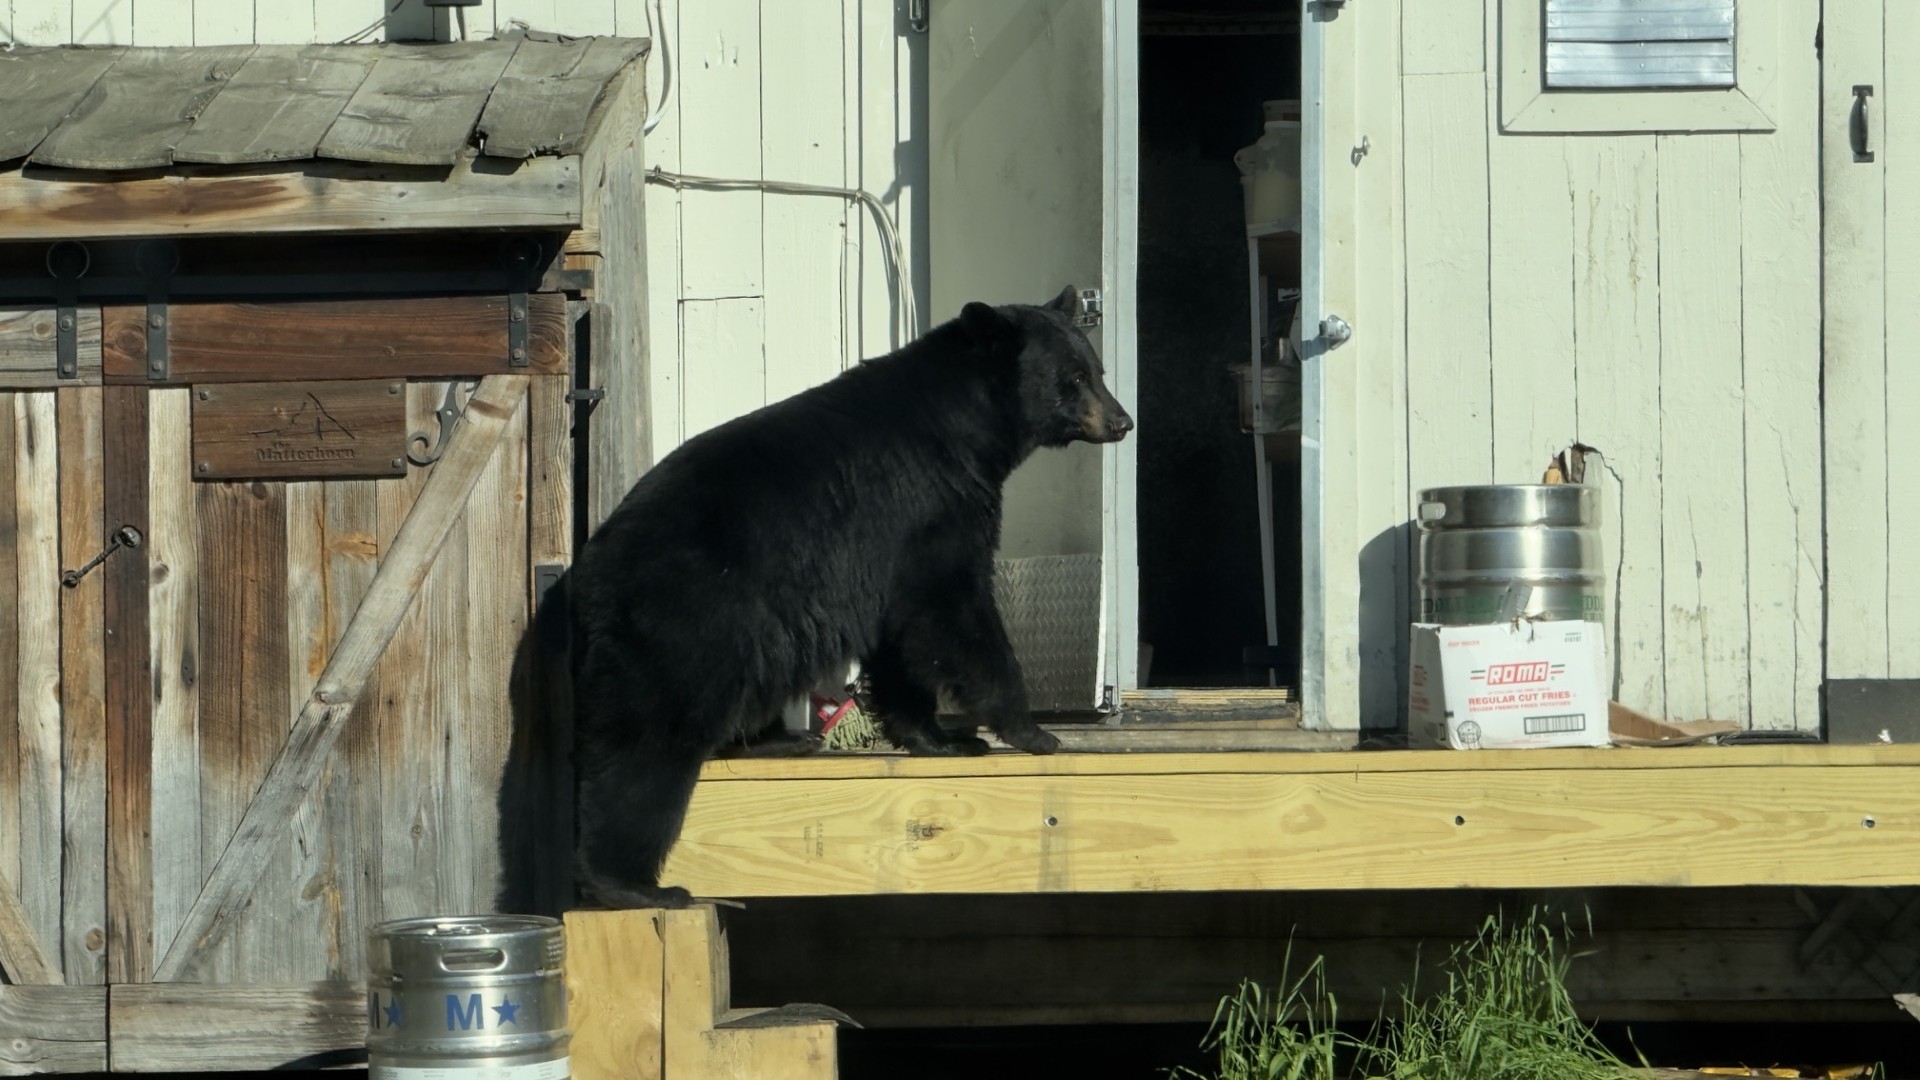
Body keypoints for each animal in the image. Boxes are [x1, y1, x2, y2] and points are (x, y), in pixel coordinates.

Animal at [567, 285, 1133, 909]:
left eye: (1098, 371)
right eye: (1073, 377)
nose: (1122, 420)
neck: (965, 431)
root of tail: (589, 577)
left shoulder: (891, 548)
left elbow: (903, 634)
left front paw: (940, 737)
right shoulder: (930, 507)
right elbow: (955, 611)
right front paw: (1030, 732)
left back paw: (782, 741)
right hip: (685, 622)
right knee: (648, 746)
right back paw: (633, 884)